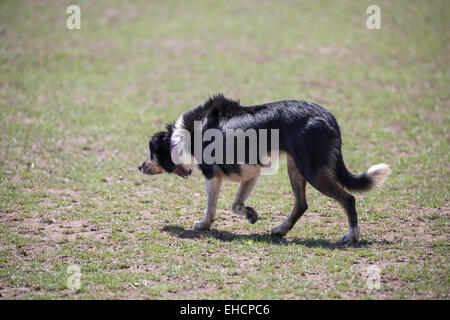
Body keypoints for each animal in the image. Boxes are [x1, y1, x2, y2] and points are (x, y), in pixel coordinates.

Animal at [139, 94, 392, 242]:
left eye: (151, 153)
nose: (140, 167)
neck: (184, 135)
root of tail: (329, 116)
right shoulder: (252, 171)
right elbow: (236, 204)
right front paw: (250, 214)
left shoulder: (213, 175)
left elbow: (211, 207)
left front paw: (204, 225)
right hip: (295, 168)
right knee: (302, 204)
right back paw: (281, 230)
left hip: (312, 170)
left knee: (348, 199)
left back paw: (352, 236)